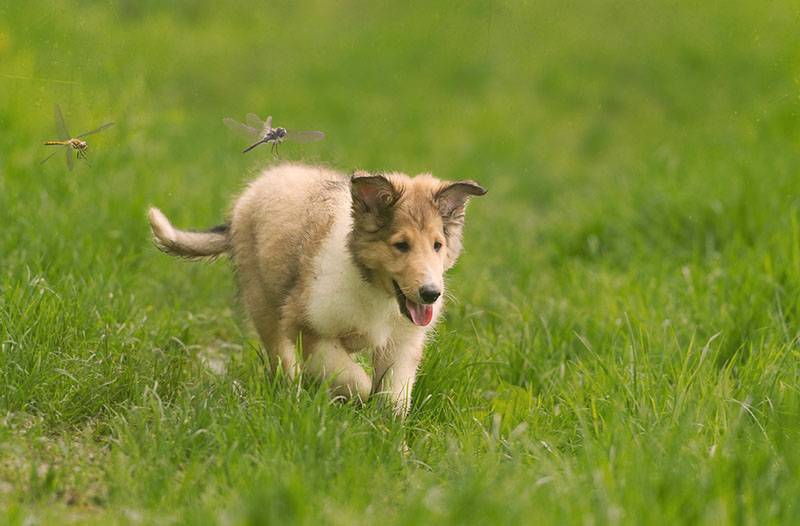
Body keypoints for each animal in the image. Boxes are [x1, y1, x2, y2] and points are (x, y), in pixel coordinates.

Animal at [151, 163, 488, 418]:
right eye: (401, 245)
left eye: (437, 245)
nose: (431, 294)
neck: (376, 291)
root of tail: (259, 185)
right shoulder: (307, 326)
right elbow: (354, 380)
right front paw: (353, 403)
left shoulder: (401, 344)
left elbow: (392, 398)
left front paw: (393, 442)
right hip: (264, 304)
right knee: (283, 362)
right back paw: (295, 397)